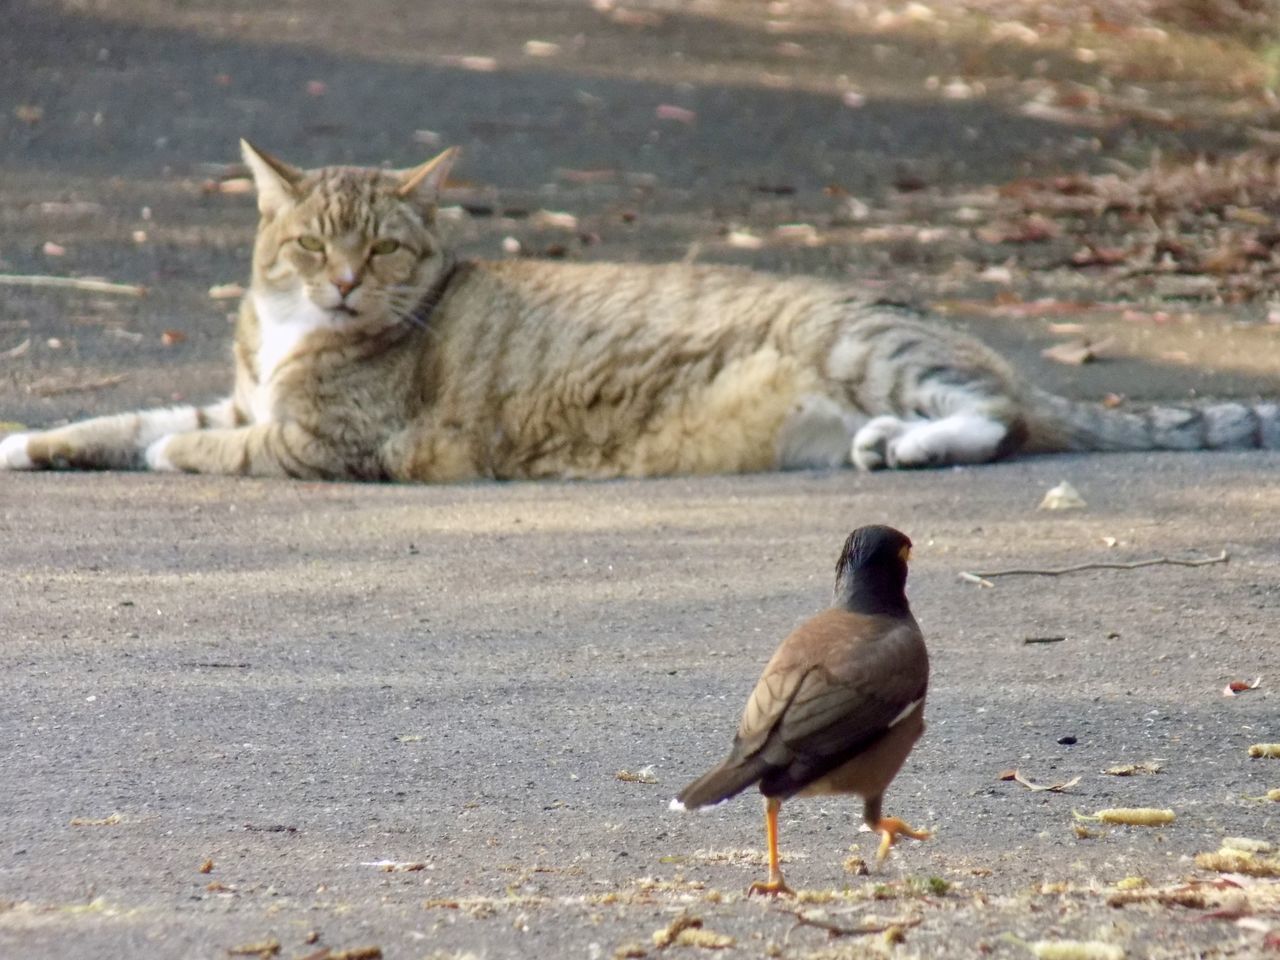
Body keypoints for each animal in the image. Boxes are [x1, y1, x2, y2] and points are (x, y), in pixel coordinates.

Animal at [0, 142, 1274, 481]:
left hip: (857, 342)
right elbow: (125, 417)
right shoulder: (241, 394)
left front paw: (167, 457)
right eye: (312, 242)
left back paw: (907, 445)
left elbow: (189, 444)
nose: (344, 284)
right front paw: (28, 440)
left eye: (383, 246)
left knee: (998, 420)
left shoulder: (324, 442)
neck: (290, 336)